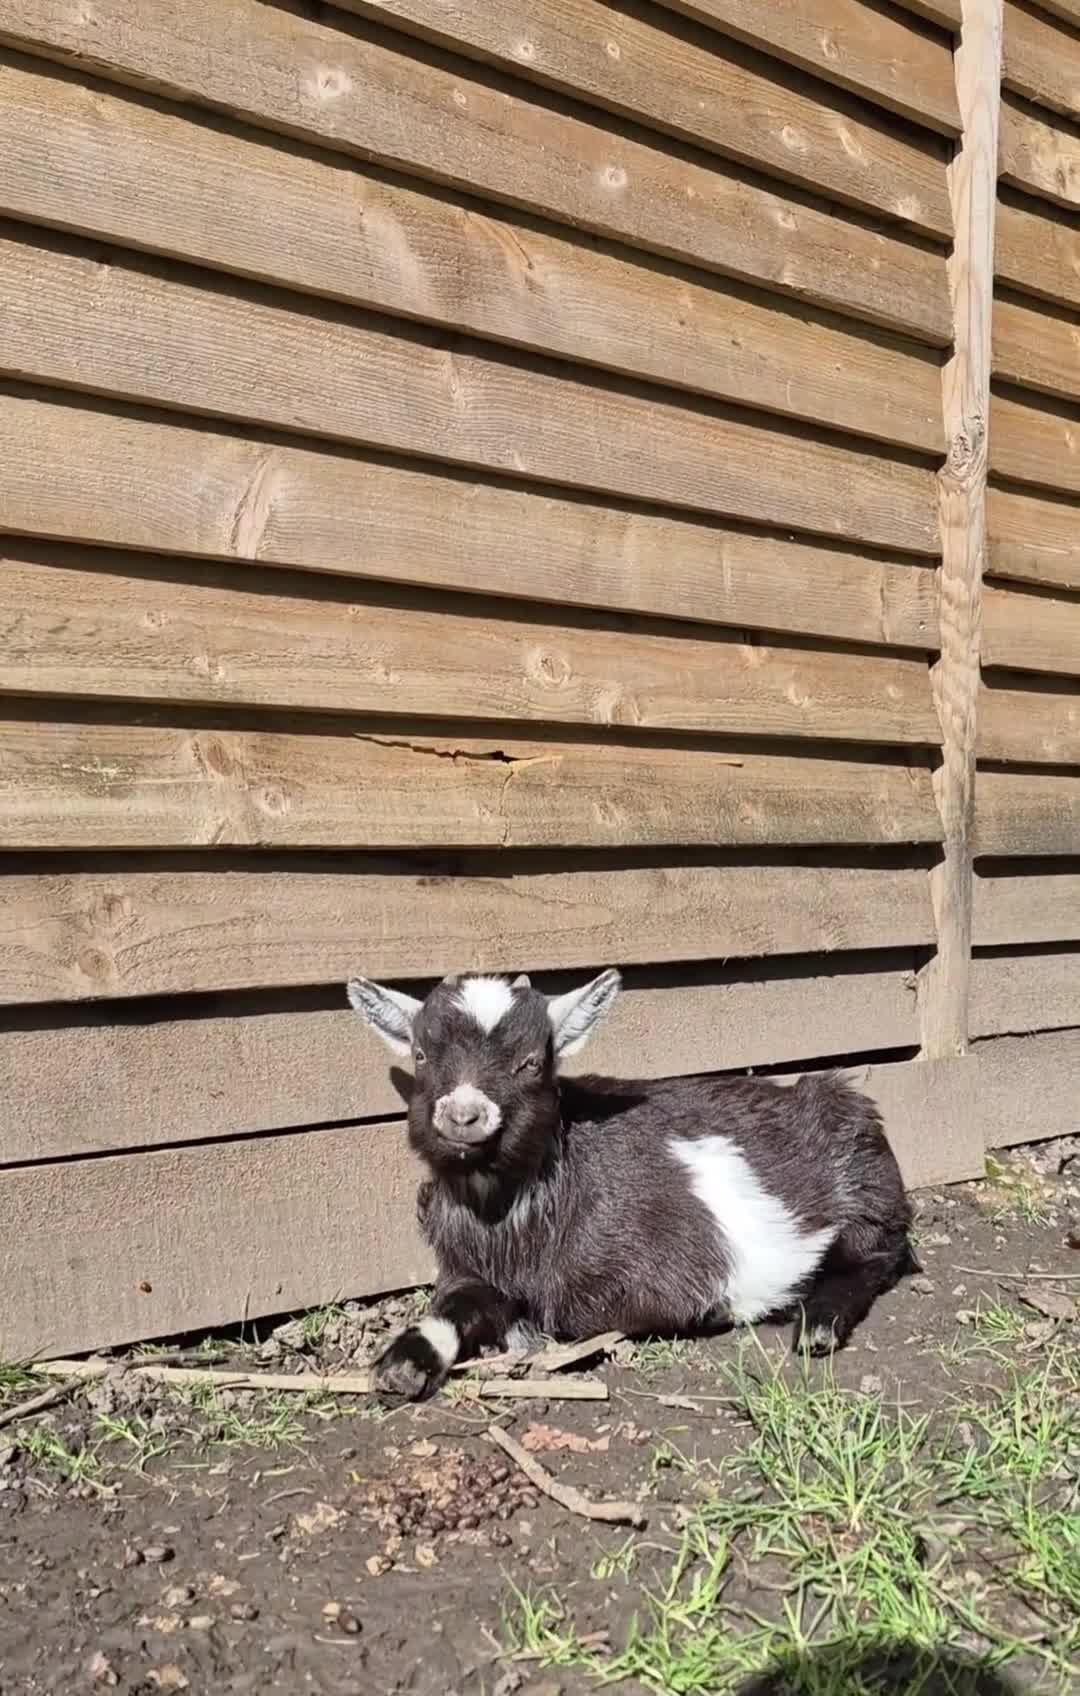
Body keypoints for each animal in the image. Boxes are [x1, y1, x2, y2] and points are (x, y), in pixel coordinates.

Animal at [347, 968, 916, 1401]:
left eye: (531, 1062)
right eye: (421, 1055)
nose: (464, 1115)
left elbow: (578, 1314)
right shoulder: (463, 1264)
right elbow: (454, 1305)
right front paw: (402, 1365)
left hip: (868, 1187)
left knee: (876, 1253)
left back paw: (818, 1324)